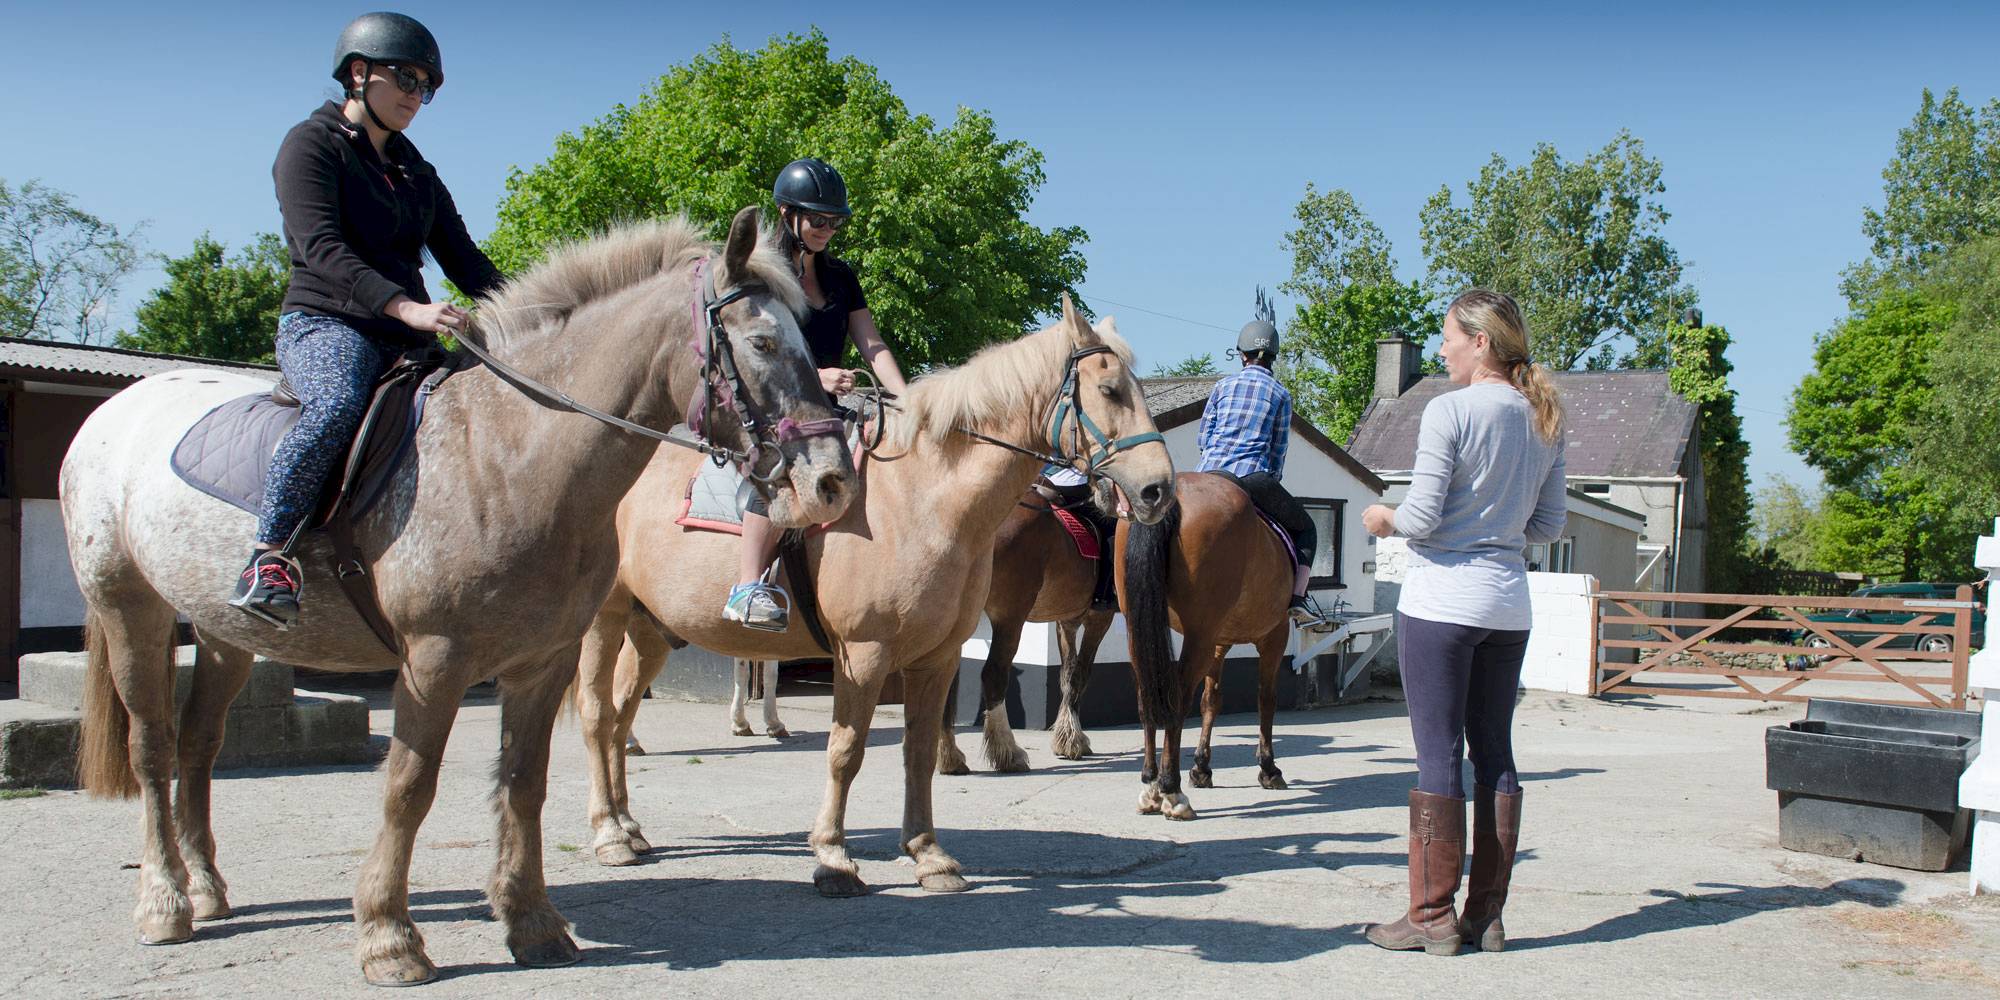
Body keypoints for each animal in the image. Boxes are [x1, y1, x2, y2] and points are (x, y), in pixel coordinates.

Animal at [60, 211, 860, 984]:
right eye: (762, 341)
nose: (831, 482)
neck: (507, 456)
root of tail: (115, 410)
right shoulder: (434, 661)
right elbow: (409, 788)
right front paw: (388, 938)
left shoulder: (542, 662)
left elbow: (524, 783)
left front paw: (531, 922)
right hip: (131, 610)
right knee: (151, 748)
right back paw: (164, 901)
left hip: (226, 635)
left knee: (198, 745)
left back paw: (204, 885)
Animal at [940, 484, 1128, 772]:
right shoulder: (1099, 618)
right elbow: (1080, 675)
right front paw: (1073, 740)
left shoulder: (1066, 621)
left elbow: (1067, 674)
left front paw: (1067, 737)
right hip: (1010, 615)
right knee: (994, 674)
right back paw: (1008, 752)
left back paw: (950, 756)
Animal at [1128, 468, 1296, 820]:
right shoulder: (1275, 635)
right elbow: (1266, 699)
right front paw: (1269, 768)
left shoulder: (1219, 642)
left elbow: (1211, 700)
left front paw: (1201, 768)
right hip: (1198, 637)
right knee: (1177, 699)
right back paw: (1171, 790)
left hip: (1141, 631)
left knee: (1146, 696)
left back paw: (1150, 786)